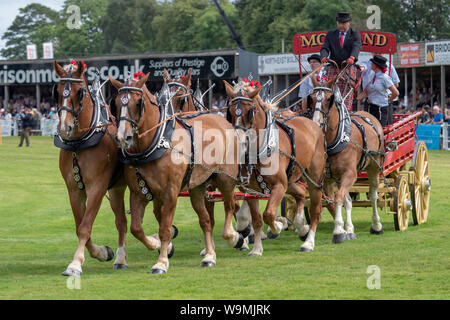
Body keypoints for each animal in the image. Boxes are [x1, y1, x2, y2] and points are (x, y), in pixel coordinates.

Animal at [54, 61, 130, 276]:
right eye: (57, 90)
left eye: (80, 92)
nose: (65, 128)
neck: (78, 145)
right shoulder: (74, 190)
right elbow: (80, 227)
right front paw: (103, 252)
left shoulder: (97, 187)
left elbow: (85, 227)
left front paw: (75, 264)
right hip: (117, 189)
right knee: (122, 221)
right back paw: (120, 258)